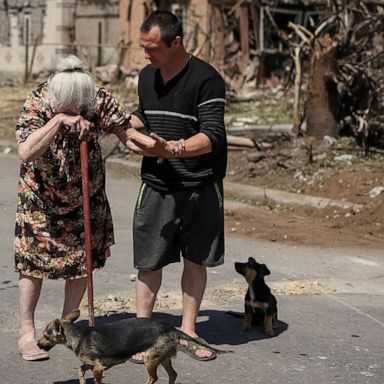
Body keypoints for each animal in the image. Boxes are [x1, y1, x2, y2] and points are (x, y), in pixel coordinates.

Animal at [37, 308, 231, 384]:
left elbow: (95, 378)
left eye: (45, 336)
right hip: (163, 358)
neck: (78, 334)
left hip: (150, 359)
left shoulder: (98, 367)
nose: (38, 344)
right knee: (173, 374)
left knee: (153, 378)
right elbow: (80, 369)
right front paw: (83, 381)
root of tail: (171, 328)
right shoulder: (92, 364)